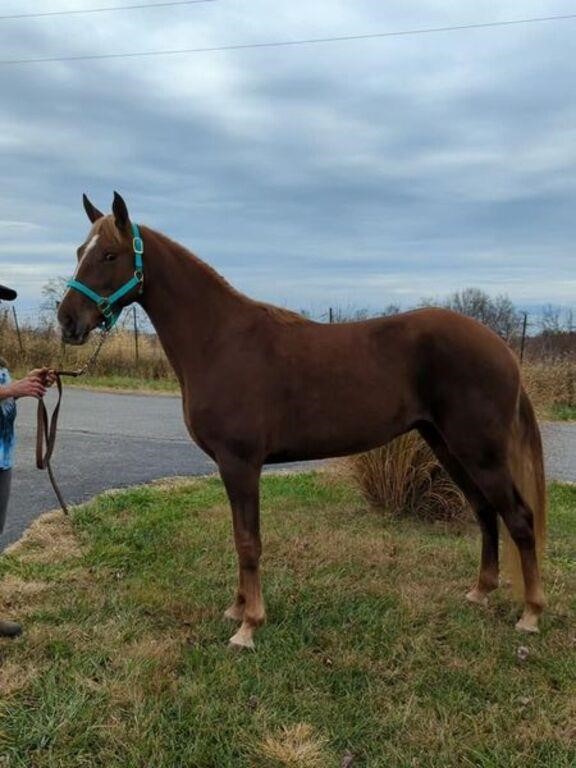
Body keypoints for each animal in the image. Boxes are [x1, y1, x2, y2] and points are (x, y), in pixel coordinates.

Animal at [56, 192, 548, 648]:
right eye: (80, 250)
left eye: (109, 254)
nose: (67, 322)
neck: (220, 340)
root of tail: (503, 349)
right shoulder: (231, 467)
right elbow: (239, 536)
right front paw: (237, 609)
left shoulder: (240, 463)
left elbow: (248, 541)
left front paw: (249, 626)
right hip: (447, 445)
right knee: (485, 511)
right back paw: (480, 592)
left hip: (478, 450)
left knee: (519, 517)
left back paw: (530, 614)